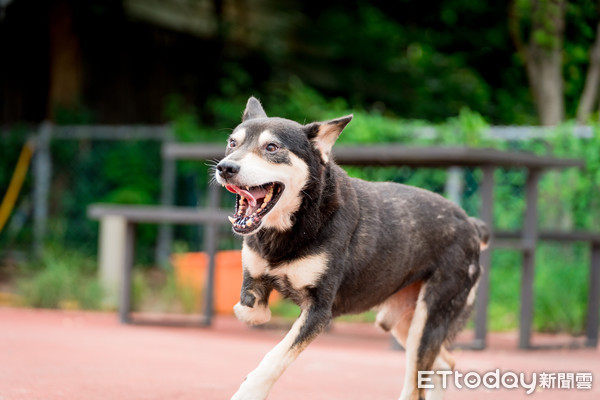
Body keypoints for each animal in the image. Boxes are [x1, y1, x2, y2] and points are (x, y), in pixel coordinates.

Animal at [214, 97, 488, 400]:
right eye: (232, 143)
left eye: (272, 147)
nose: (225, 168)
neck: (298, 220)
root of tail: (471, 224)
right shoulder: (254, 277)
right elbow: (249, 309)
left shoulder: (319, 310)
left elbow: (277, 357)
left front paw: (249, 391)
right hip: (400, 321)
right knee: (443, 363)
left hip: (427, 320)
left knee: (418, 382)